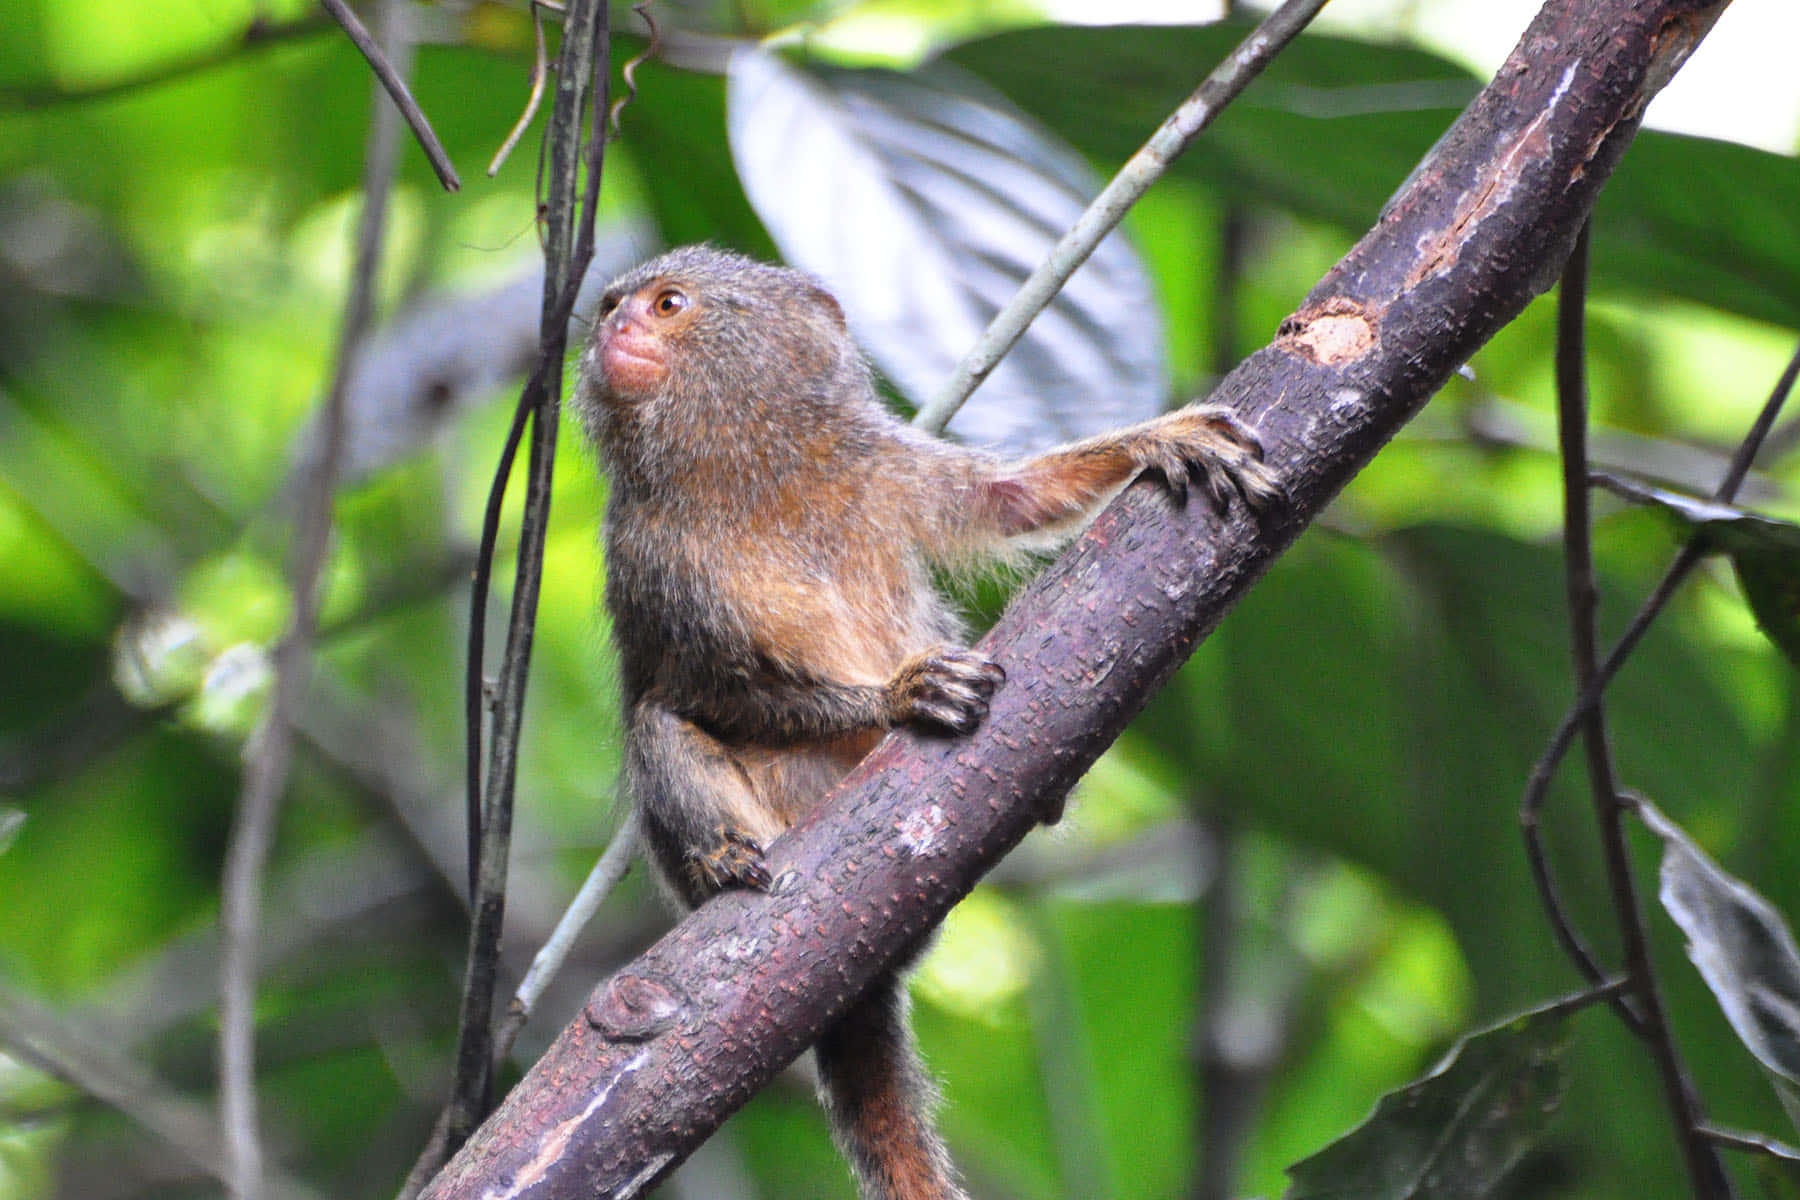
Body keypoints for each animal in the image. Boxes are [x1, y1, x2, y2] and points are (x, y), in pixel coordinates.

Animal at [575, 245, 1278, 1200]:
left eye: (667, 305)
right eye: (611, 305)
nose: (613, 327)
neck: (748, 471)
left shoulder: (885, 467)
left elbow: (1008, 499)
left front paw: (1160, 439)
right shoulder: (650, 557)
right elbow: (697, 692)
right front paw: (900, 696)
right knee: (659, 729)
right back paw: (723, 858)